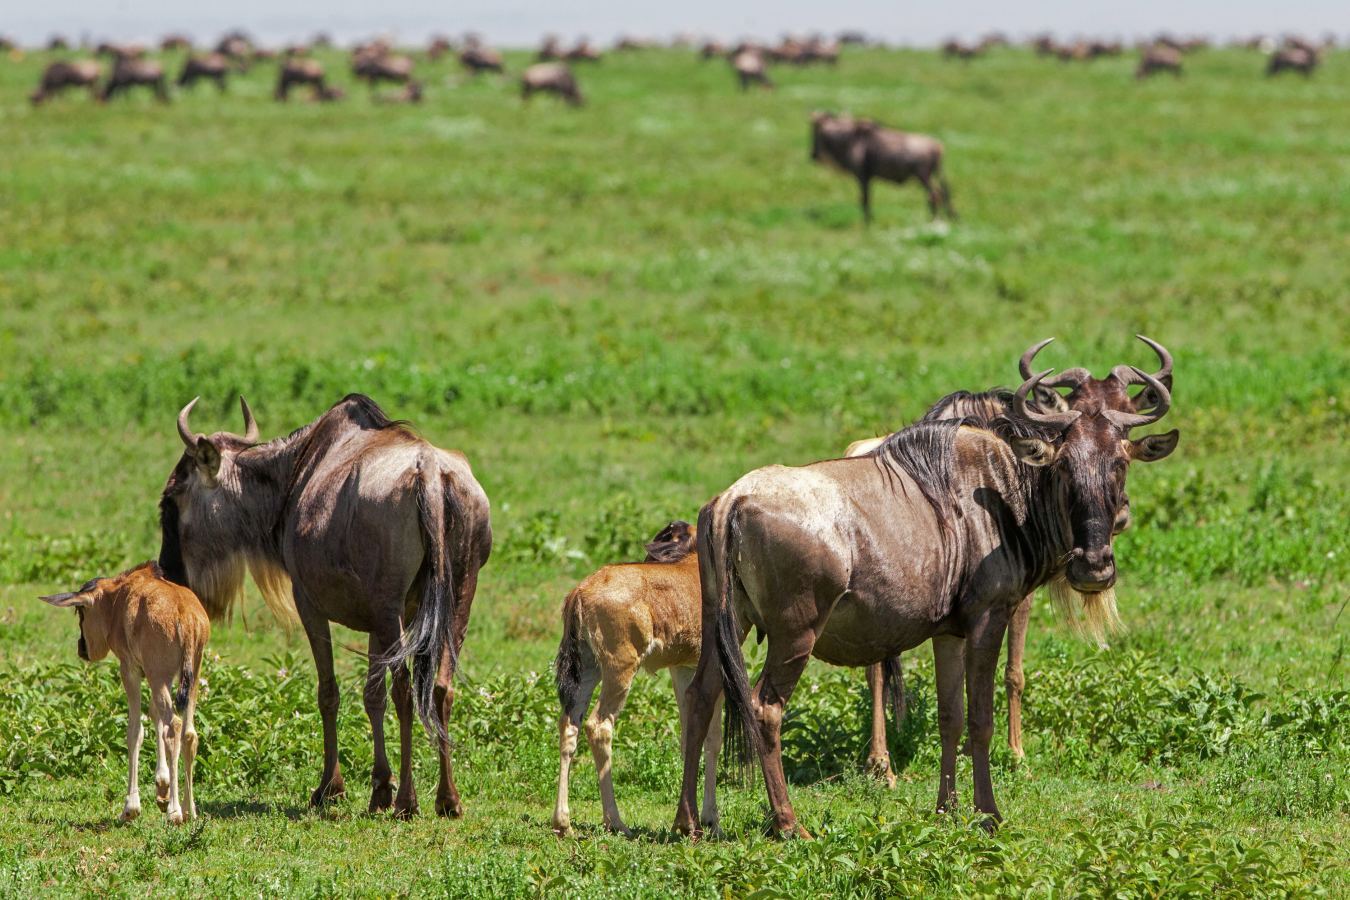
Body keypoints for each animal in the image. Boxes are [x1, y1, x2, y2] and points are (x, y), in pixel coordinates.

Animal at [41, 562, 209, 826]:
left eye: (80, 611)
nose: (82, 648)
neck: (118, 599)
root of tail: (187, 617)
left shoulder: (130, 669)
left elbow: (135, 731)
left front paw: (131, 807)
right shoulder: (160, 676)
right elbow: (154, 717)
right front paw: (161, 787)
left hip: (159, 675)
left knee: (174, 726)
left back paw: (174, 812)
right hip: (191, 677)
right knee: (189, 733)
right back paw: (189, 809)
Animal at [158, 394, 492, 818]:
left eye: (172, 497)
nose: (167, 571)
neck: (292, 479)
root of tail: (430, 474)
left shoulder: (310, 604)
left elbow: (328, 692)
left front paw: (330, 788)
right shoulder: (378, 620)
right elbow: (371, 696)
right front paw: (379, 789)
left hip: (393, 608)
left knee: (403, 690)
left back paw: (408, 801)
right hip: (457, 600)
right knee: (440, 688)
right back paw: (447, 799)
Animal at [673, 337, 1178, 838]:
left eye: (1121, 461)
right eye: (1065, 464)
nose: (1094, 568)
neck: (1006, 491)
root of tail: (733, 499)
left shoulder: (948, 631)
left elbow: (949, 717)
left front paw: (945, 810)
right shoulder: (989, 616)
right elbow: (980, 718)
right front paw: (988, 813)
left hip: (726, 624)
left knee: (700, 696)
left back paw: (688, 822)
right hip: (794, 635)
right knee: (765, 708)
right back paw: (789, 824)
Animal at [810, 112, 955, 223]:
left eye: (815, 132)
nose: (813, 155)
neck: (851, 140)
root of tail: (938, 147)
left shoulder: (862, 176)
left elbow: (864, 200)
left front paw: (867, 223)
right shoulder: (867, 177)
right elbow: (867, 199)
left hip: (923, 176)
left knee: (934, 195)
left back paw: (934, 220)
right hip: (929, 176)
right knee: (940, 194)